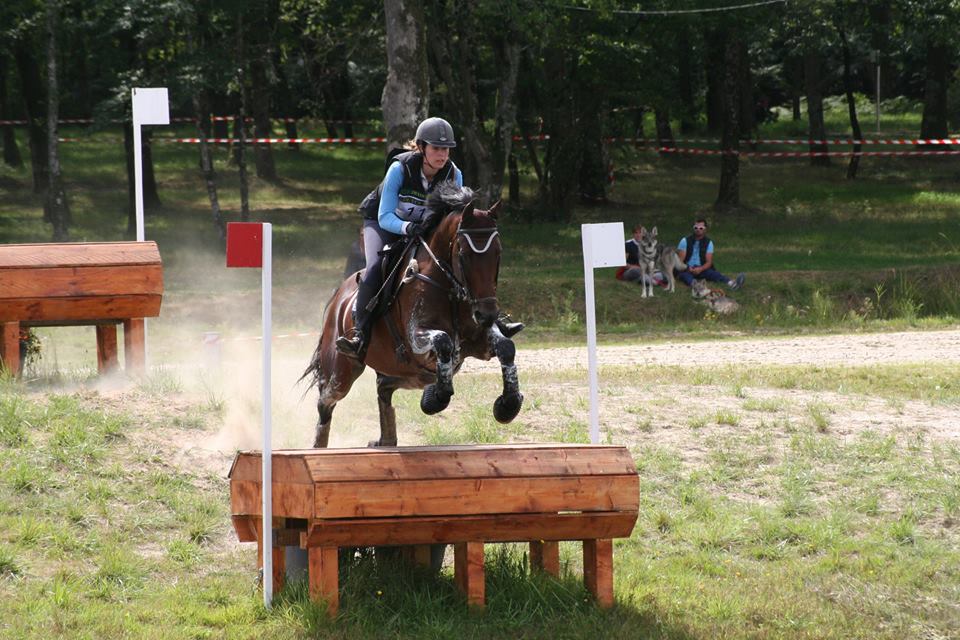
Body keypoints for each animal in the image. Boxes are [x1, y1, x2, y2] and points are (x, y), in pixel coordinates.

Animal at [302, 182, 520, 448]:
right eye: (463, 255)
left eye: (498, 253)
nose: (487, 314)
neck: (449, 287)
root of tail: (337, 299)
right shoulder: (416, 338)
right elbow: (443, 341)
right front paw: (436, 398)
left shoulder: (478, 341)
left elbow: (506, 347)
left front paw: (508, 405)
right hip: (342, 371)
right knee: (326, 401)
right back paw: (318, 446)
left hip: (403, 371)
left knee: (382, 386)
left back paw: (386, 438)